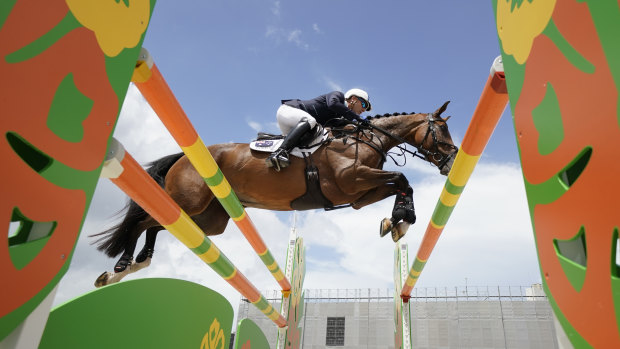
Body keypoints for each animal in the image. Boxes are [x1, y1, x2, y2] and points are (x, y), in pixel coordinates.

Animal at [93, 100, 460, 286]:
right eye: (441, 129)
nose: (452, 161)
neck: (364, 139)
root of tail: (182, 157)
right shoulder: (353, 178)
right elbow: (402, 177)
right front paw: (402, 220)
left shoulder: (358, 196)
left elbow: (400, 184)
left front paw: (397, 222)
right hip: (191, 200)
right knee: (144, 221)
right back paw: (123, 264)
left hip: (209, 219)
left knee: (159, 225)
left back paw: (133, 266)